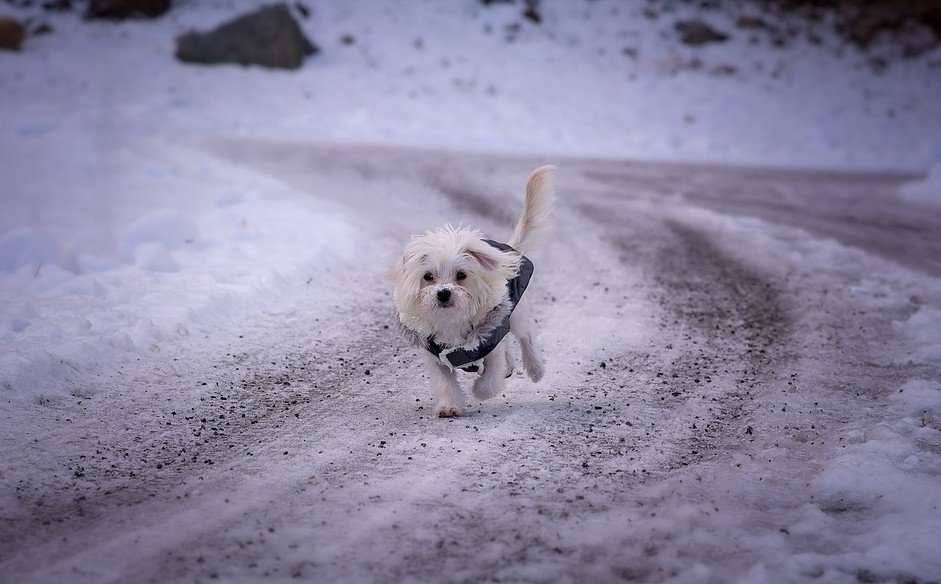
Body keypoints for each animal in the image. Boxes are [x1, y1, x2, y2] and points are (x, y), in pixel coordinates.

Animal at [388, 167, 552, 418]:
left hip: (514, 315)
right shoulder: (435, 355)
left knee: (526, 337)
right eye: (428, 276)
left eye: (461, 275)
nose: (443, 293)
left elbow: (491, 378)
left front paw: (480, 391)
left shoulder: (490, 341)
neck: (452, 321)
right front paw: (449, 405)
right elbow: (445, 383)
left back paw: (535, 368)